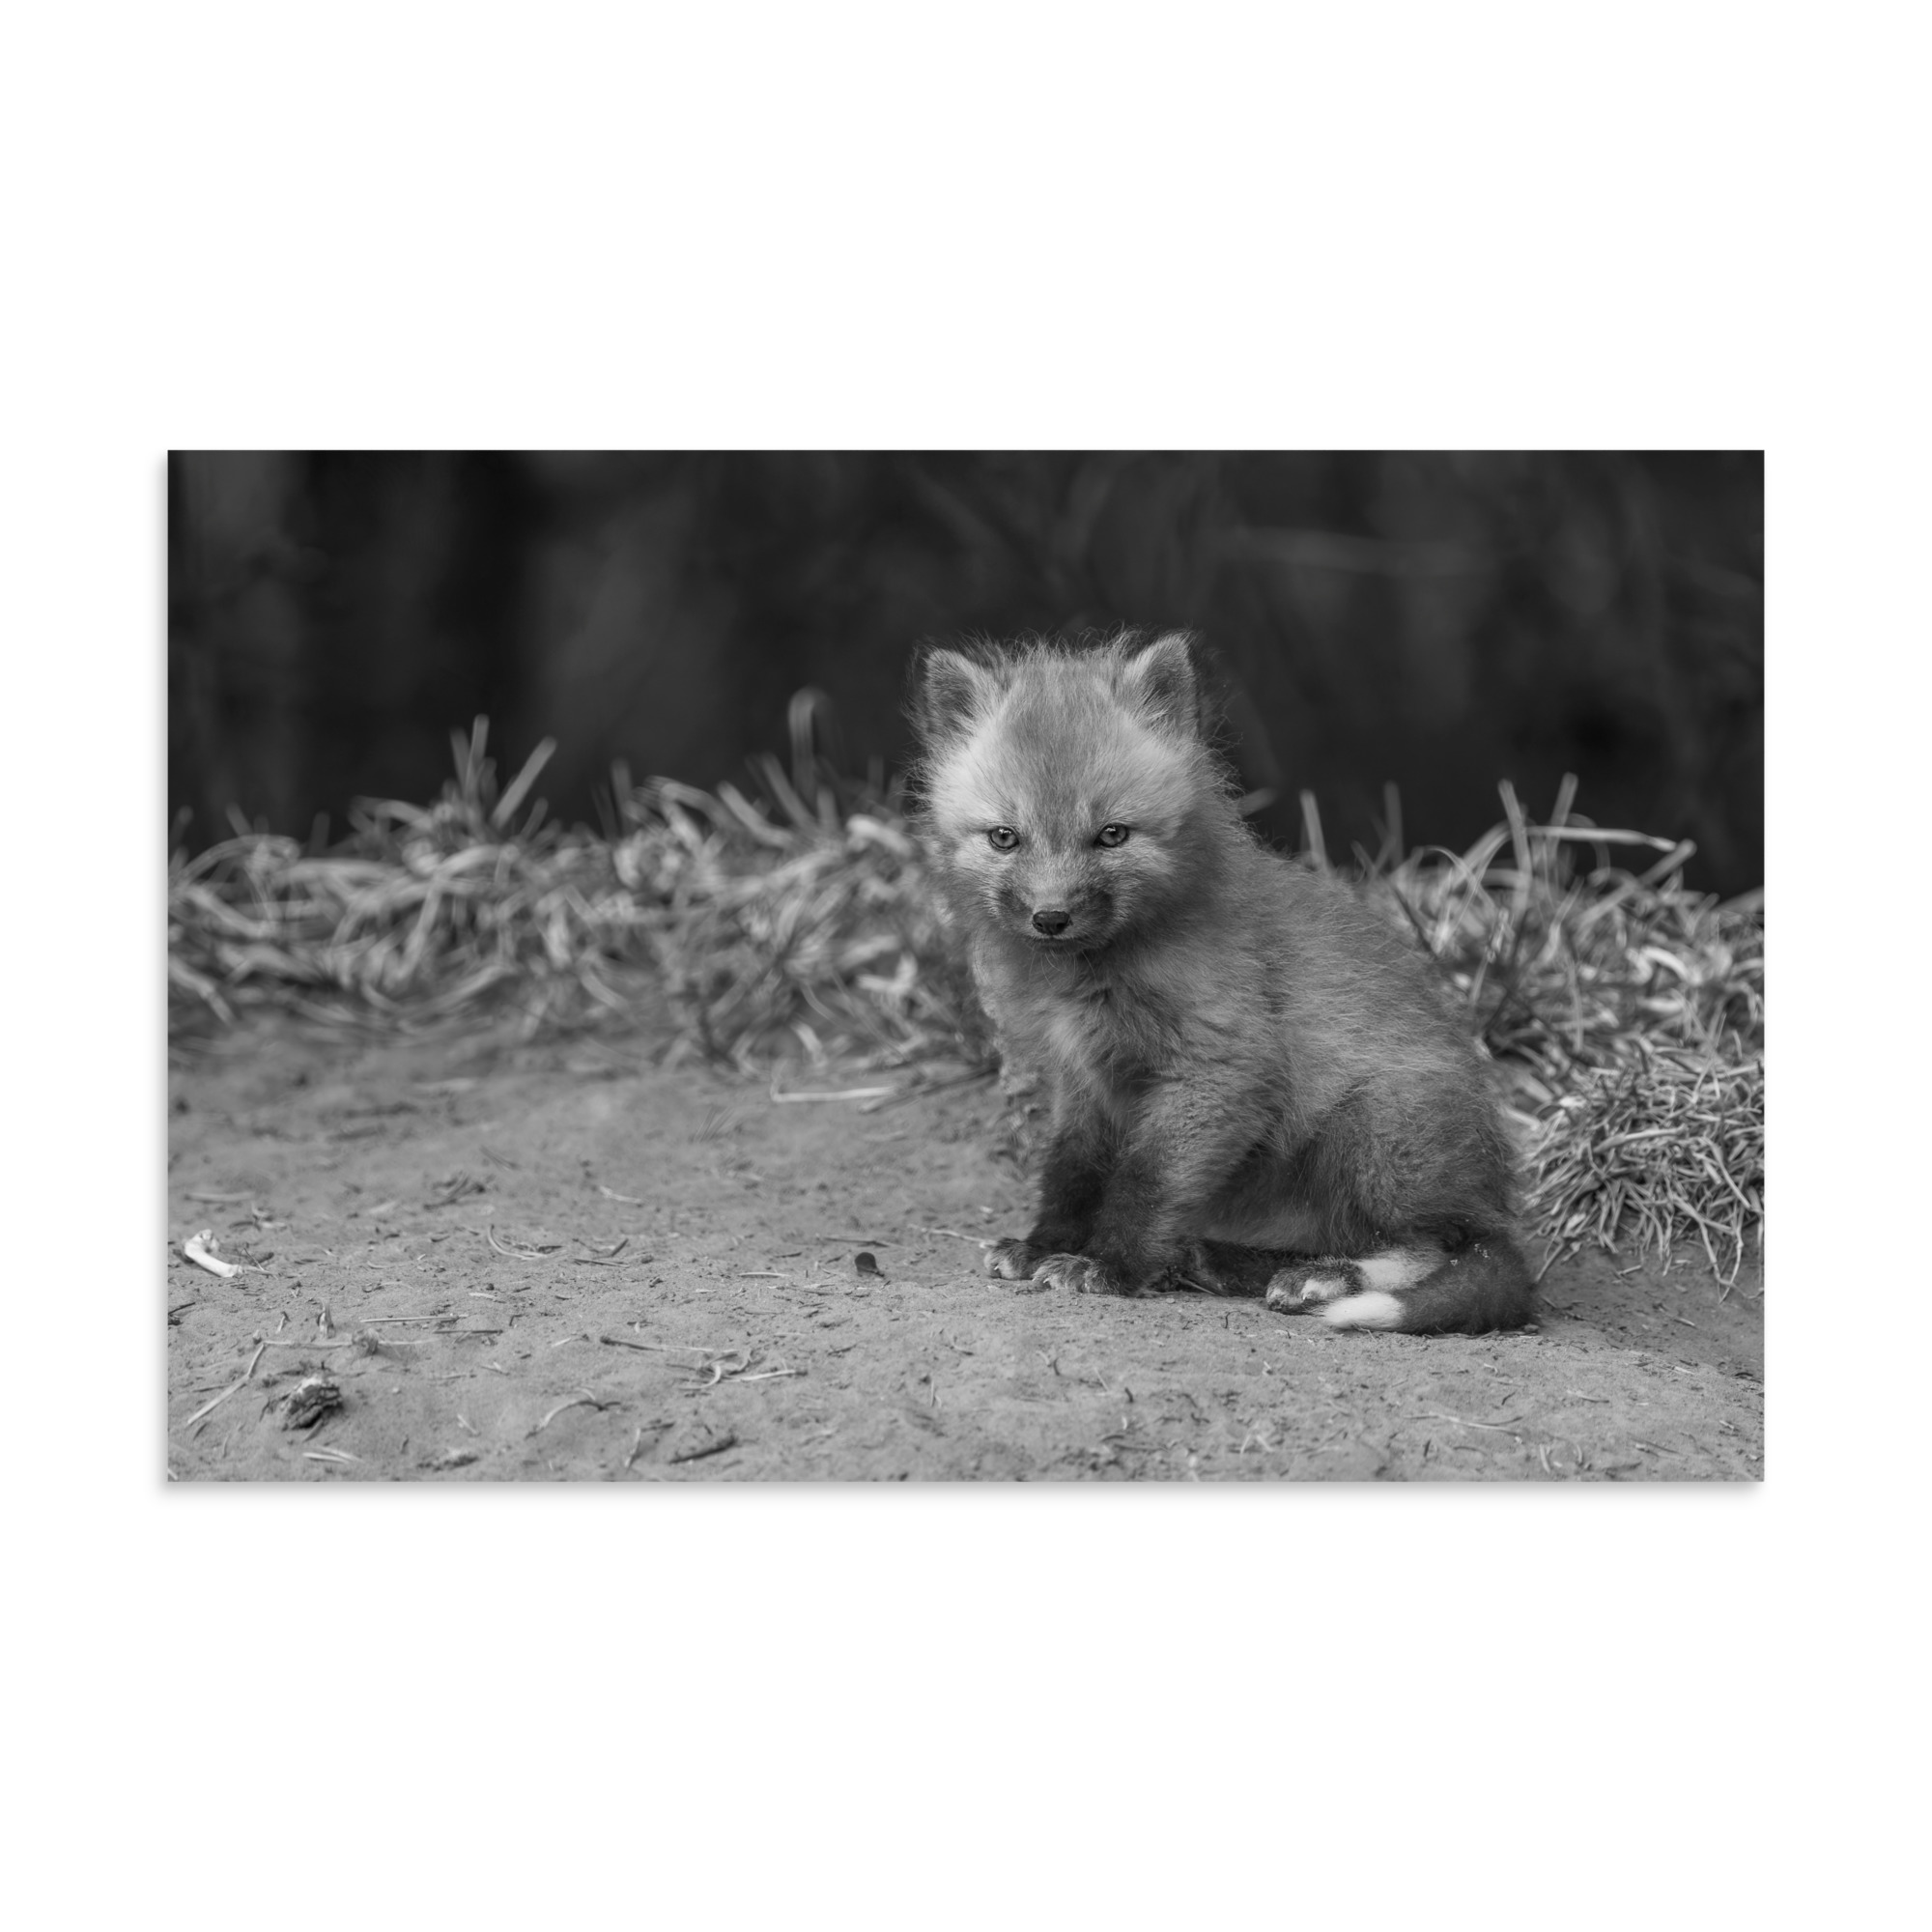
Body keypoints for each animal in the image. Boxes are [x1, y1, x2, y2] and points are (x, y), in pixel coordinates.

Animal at [908, 628, 1535, 1334]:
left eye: (1112, 835)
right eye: (1005, 838)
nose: (1051, 917)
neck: (1096, 977)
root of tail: (1492, 1194)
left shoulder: (1219, 1069)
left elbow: (1145, 1182)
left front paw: (1109, 1267)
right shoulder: (1085, 1080)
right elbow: (1072, 1173)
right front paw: (1045, 1245)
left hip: (1372, 1131)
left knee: (1441, 1248)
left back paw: (1321, 1279)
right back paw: (1225, 1261)